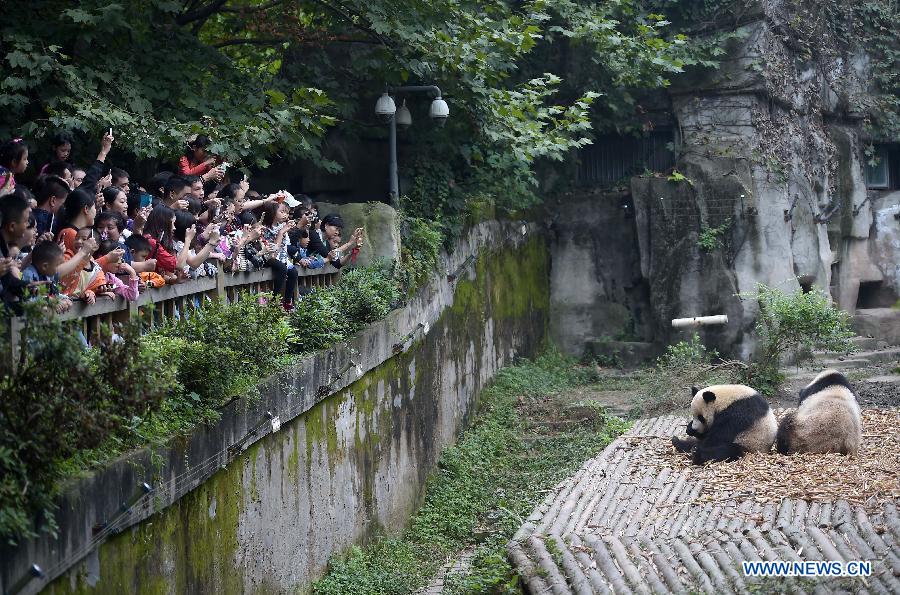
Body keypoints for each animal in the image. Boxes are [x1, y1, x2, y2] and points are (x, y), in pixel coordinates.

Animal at [672, 372, 860, 466]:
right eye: (694, 416)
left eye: (701, 417)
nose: (693, 429)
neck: (726, 397)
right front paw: (689, 432)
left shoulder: (739, 411)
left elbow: (718, 435)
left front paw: (695, 443)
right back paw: (680, 442)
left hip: (750, 444)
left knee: (726, 450)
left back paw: (694, 452)